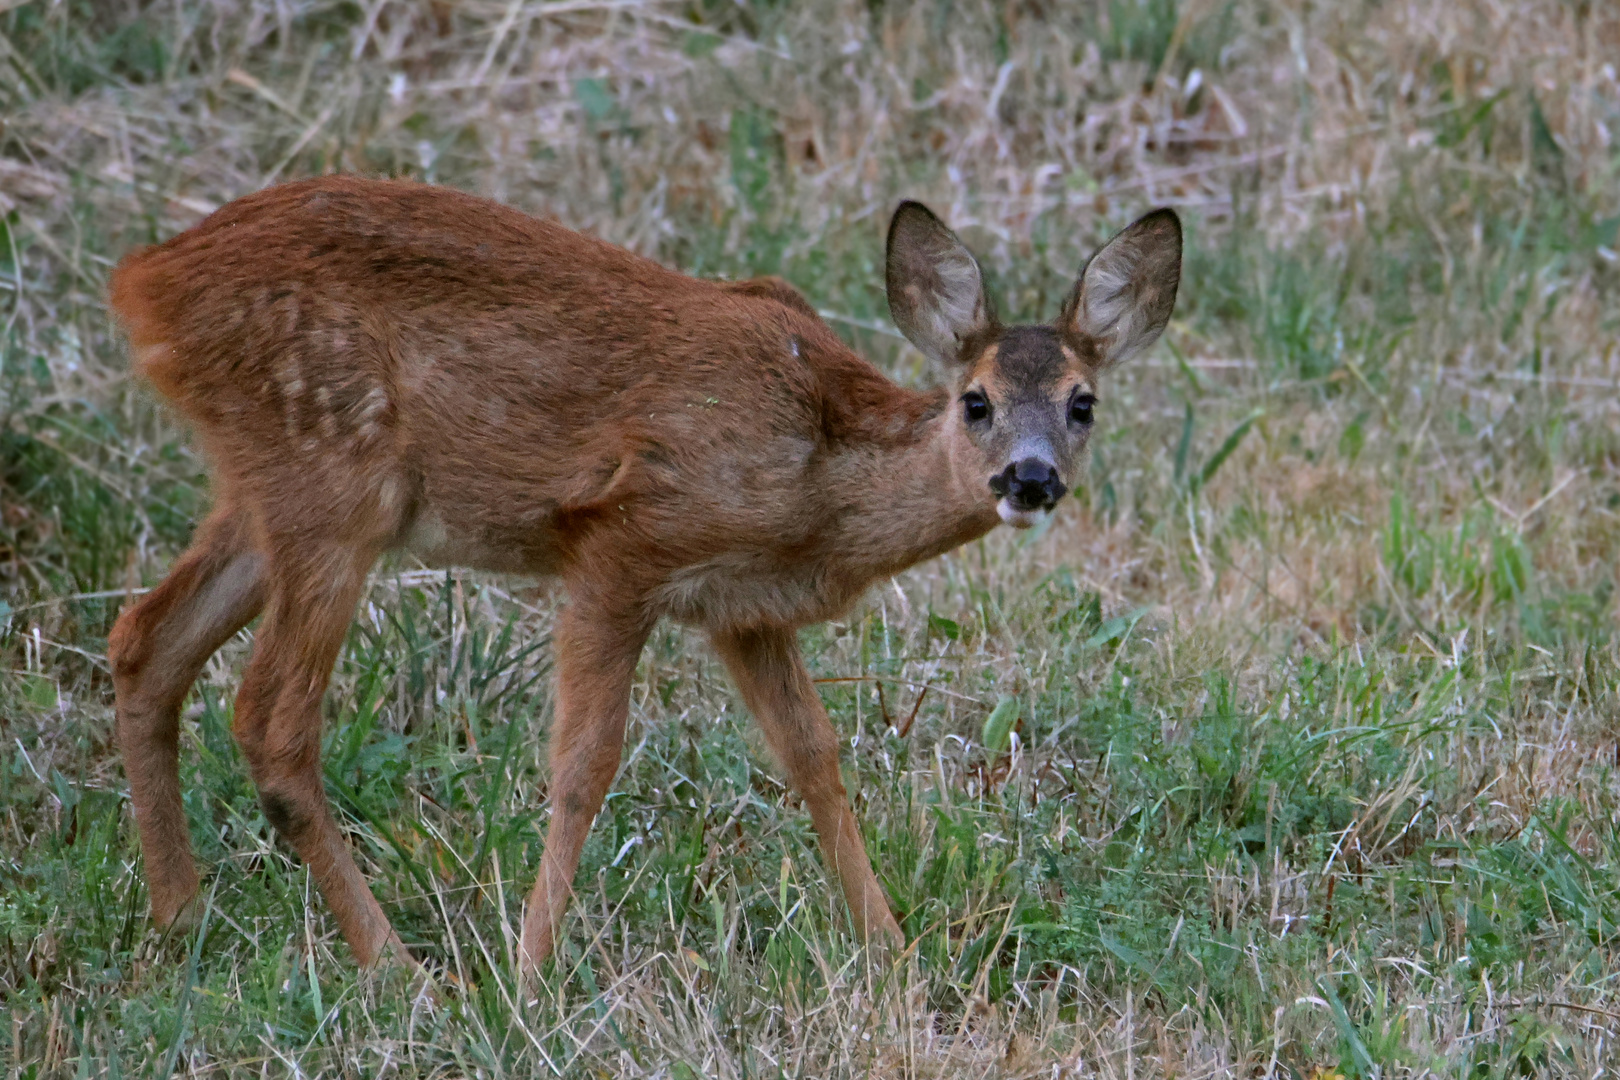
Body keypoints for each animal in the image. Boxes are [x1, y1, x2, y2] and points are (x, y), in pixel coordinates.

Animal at [107, 175, 1185, 971]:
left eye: (1083, 402)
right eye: (976, 401)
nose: (1030, 478)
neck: (819, 478)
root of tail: (141, 280)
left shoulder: (743, 609)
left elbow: (815, 757)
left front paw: (890, 951)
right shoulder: (625, 542)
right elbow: (584, 764)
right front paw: (531, 969)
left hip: (267, 493)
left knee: (144, 641)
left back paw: (179, 918)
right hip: (332, 479)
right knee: (270, 719)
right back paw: (397, 970)